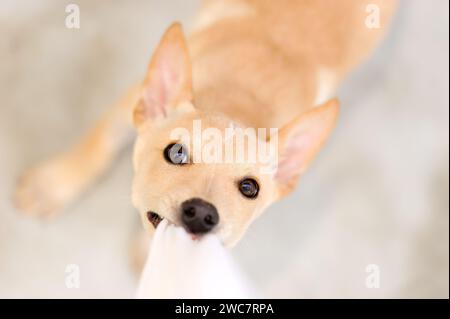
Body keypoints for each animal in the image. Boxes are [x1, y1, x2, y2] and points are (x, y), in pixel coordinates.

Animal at [14, 0, 398, 248]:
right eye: (177, 153)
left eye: (250, 188)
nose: (201, 214)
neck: (235, 100)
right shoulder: (131, 100)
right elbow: (99, 142)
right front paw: (53, 185)